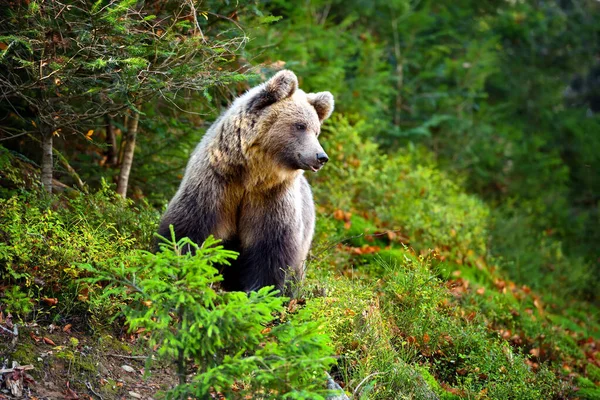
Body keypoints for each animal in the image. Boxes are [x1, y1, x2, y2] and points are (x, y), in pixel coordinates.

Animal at [157, 70, 336, 292]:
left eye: (316, 130)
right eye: (300, 125)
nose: (321, 157)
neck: (251, 176)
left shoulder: (271, 197)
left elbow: (270, 248)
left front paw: (261, 290)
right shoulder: (216, 183)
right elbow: (187, 228)